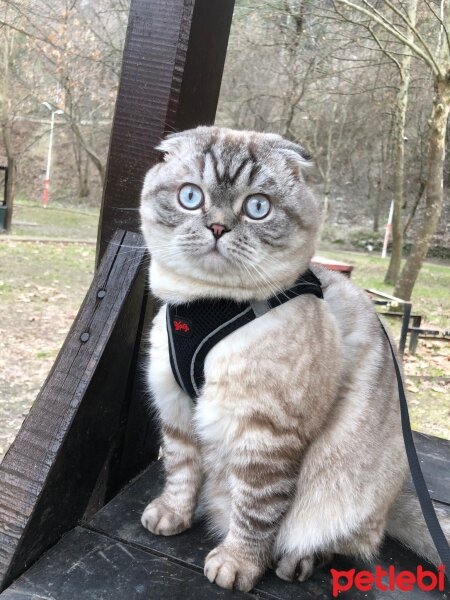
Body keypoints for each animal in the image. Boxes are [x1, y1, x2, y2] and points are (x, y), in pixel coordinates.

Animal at [139, 125, 448, 592]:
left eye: (257, 207)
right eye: (190, 197)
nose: (217, 227)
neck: (206, 304)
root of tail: (395, 498)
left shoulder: (266, 433)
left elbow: (255, 513)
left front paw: (237, 565)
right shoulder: (175, 407)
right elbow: (180, 470)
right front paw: (172, 516)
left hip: (347, 491)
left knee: (338, 540)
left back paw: (297, 563)